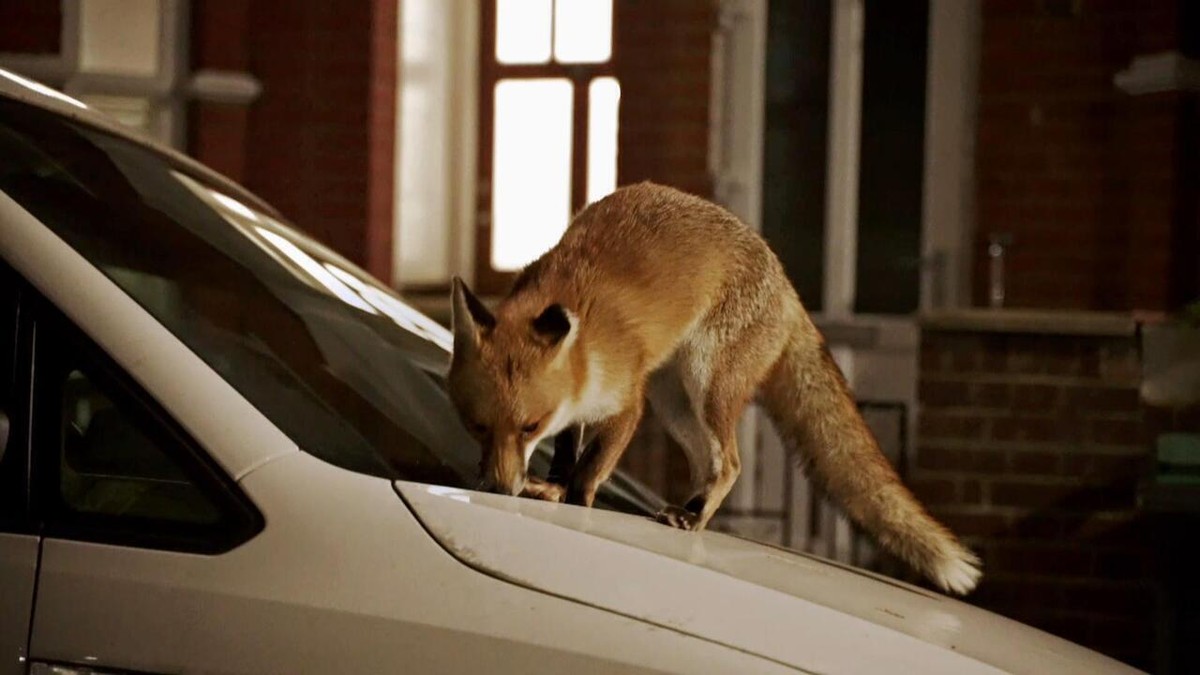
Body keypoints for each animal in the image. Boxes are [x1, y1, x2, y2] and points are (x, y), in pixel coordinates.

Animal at [451, 180, 984, 593]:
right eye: (477, 427)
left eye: (528, 427)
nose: (498, 489)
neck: (583, 347)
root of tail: (786, 282)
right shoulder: (575, 409)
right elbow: (566, 455)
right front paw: (552, 486)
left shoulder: (627, 404)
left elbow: (590, 471)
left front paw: (575, 504)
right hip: (676, 404)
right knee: (708, 464)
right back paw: (688, 513)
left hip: (704, 386)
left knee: (731, 463)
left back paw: (694, 518)